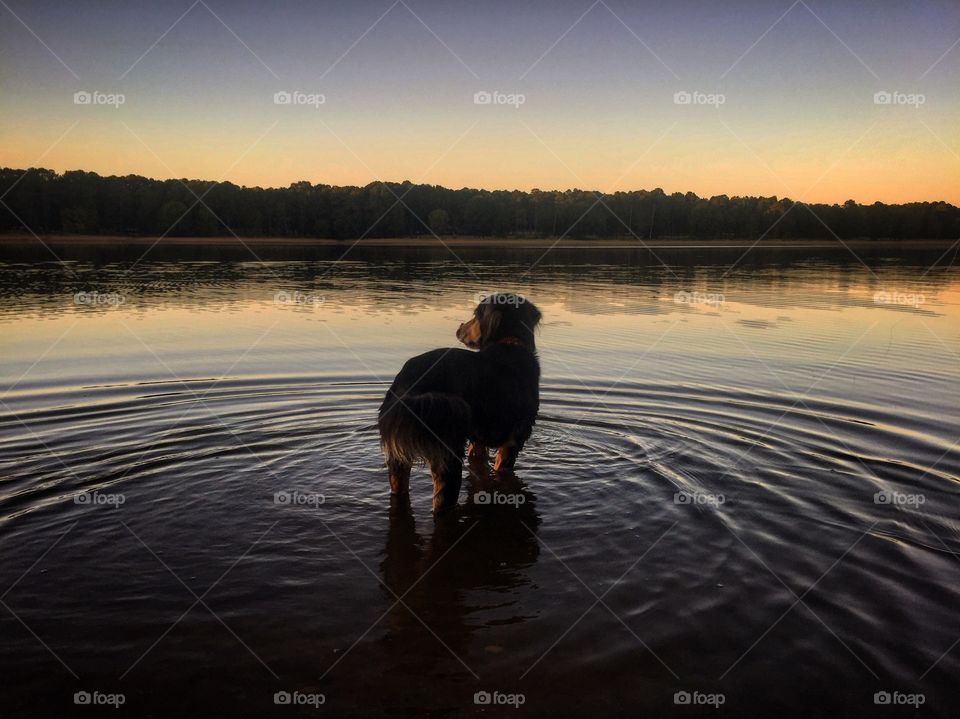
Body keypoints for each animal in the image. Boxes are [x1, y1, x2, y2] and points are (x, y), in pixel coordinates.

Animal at [376, 296, 540, 516]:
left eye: (475, 315)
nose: (460, 327)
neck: (511, 343)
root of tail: (406, 384)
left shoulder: (478, 441)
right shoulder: (513, 442)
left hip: (398, 459)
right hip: (447, 458)